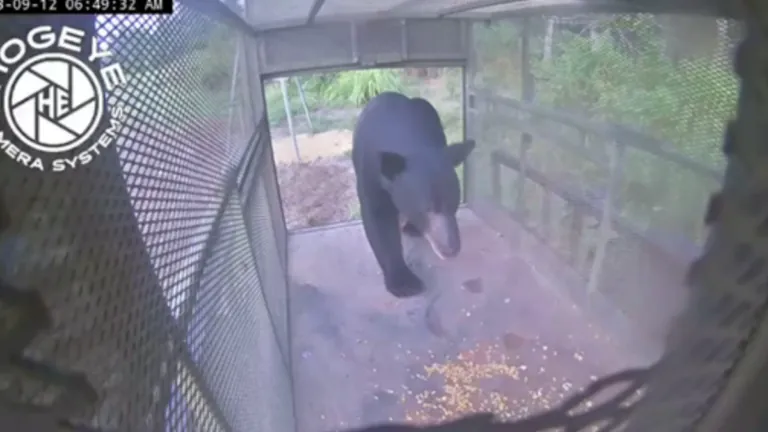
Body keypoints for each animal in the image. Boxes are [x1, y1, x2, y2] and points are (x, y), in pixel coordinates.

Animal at [352, 93, 474, 298]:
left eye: (454, 204)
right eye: (427, 209)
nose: (451, 250)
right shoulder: (370, 172)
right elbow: (378, 221)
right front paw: (404, 282)